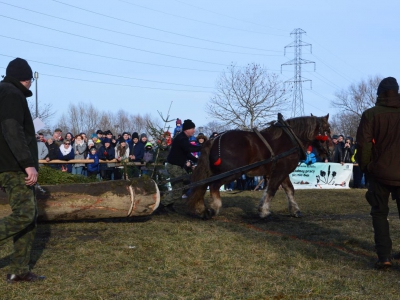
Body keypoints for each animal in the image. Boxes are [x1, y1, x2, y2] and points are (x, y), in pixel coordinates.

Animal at [188, 113, 332, 219]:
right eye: (327, 130)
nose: (330, 150)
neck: (291, 140)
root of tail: (214, 139)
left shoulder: (281, 172)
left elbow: (289, 189)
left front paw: (295, 210)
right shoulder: (280, 172)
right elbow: (272, 190)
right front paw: (264, 211)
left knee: (202, 186)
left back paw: (200, 209)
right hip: (232, 173)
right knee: (213, 186)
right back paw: (213, 208)